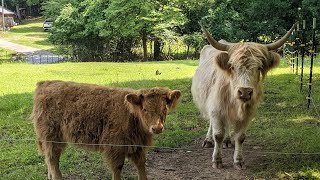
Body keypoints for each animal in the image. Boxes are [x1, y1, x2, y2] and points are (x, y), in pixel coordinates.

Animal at [31, 80, 181, 180]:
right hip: (51, 136)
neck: (131, 115)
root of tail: (46, 83)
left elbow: (141, 165)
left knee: (50, 159)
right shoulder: (115, 146)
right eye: (144, 109)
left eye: (164, 108)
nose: (157, 127)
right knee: (52, 159)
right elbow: (118, 168)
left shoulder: (137, 146)